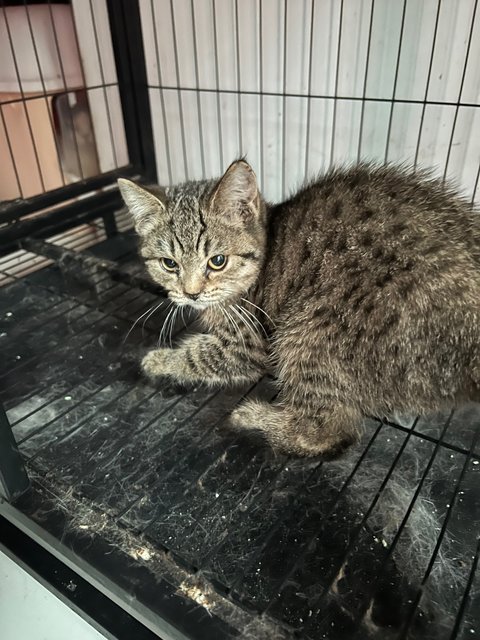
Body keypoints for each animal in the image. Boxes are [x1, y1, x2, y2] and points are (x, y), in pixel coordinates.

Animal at [118, 162, 480, 458]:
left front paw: (159, 360)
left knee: (327, 432)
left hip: (309, 328)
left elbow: (199, 355)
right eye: (169, 264)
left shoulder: (248, 344)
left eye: (217, 261)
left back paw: (255, 419)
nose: (191, 293)